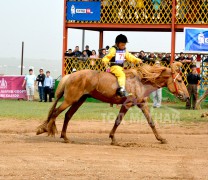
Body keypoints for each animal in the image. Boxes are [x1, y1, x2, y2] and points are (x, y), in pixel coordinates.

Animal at [36, 62, 189, 145]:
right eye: (180, 80)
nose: (187, 97)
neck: (140, 81)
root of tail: (70, 75)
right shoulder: (127, 104)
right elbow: (118, 121)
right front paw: (113, 138)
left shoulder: (142, 104)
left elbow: (151, 122)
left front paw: (161, 138)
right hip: (70, 100)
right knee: (55, 113)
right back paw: (44, 129)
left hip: (78, 101)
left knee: (67, 115)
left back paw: (65, 137)